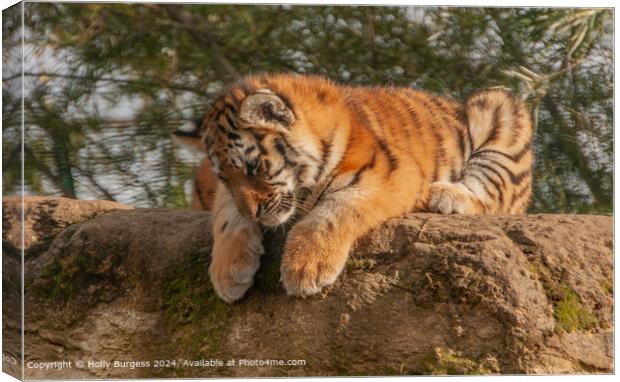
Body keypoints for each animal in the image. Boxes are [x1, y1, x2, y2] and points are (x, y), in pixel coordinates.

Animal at [174, 73, 532, 302]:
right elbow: (228, 219)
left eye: (253, 167)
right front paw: (229, 274)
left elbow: (334, 210)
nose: (254, 213)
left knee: (491, 196)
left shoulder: (389, 172)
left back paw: (444, 195)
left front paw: (307, 267)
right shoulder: (227, 198)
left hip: (500, 108)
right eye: (225, 177)